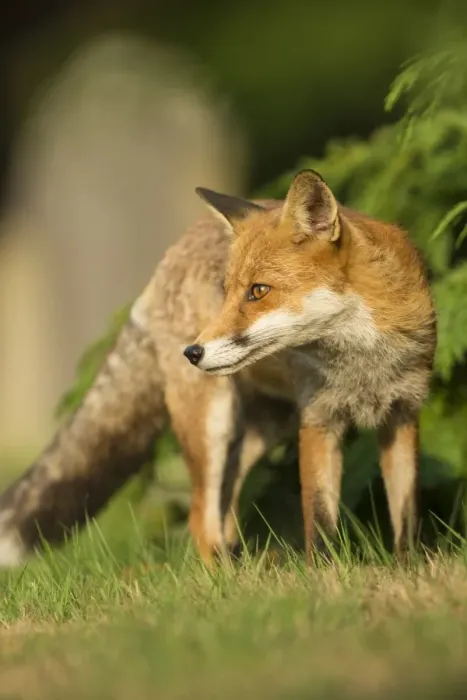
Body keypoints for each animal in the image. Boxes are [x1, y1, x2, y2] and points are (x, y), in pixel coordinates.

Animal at [0, 169, 436, 567]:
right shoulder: (318, 420)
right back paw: (223, 580)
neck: (363, 360)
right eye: (225, 292)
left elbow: (406, 514)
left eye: (258, 291)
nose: (192, 352)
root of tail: (170, 254)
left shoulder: (403, 413)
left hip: (265, 429)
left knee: (225, 506)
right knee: (201, 517)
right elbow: (320, 519)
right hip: (211, 424)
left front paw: (408, 572)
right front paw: (327, 577)